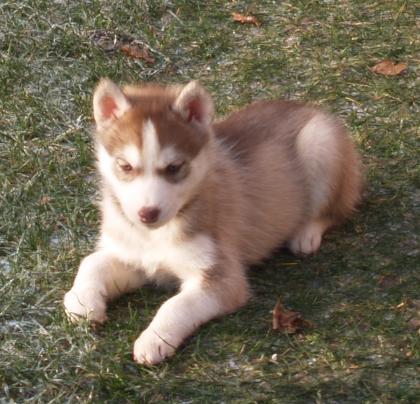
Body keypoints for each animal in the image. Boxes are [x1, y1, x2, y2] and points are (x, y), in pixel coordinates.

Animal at [64, 79, 362, 366]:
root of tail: (307, 107)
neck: (155, 235)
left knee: (333, 210)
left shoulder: (222, 277)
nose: (147, 213)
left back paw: (305, 233)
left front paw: (154, 339)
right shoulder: (135, 257)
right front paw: (82, 301)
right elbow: (91, 262)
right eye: (125, 166)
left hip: (321, 143)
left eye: (174, 168)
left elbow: (176, 306)